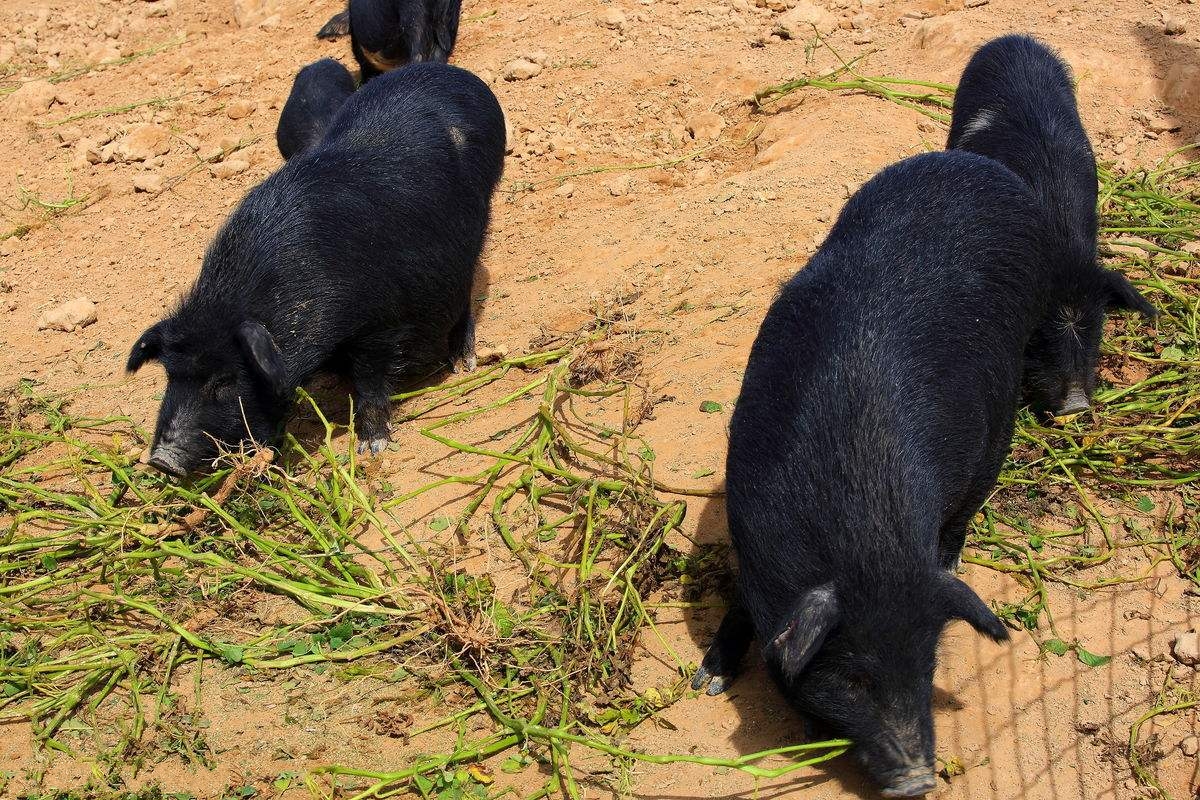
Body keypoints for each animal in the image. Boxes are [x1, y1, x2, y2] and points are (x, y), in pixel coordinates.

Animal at [129, 64, 504, 474]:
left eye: (225, 381)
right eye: (171, 376)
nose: (163, 461)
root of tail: (458, 77)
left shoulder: (378, 324)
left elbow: (370, 383)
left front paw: (372, 448)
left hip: (477, 225)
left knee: (466, 291)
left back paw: (463, 363)